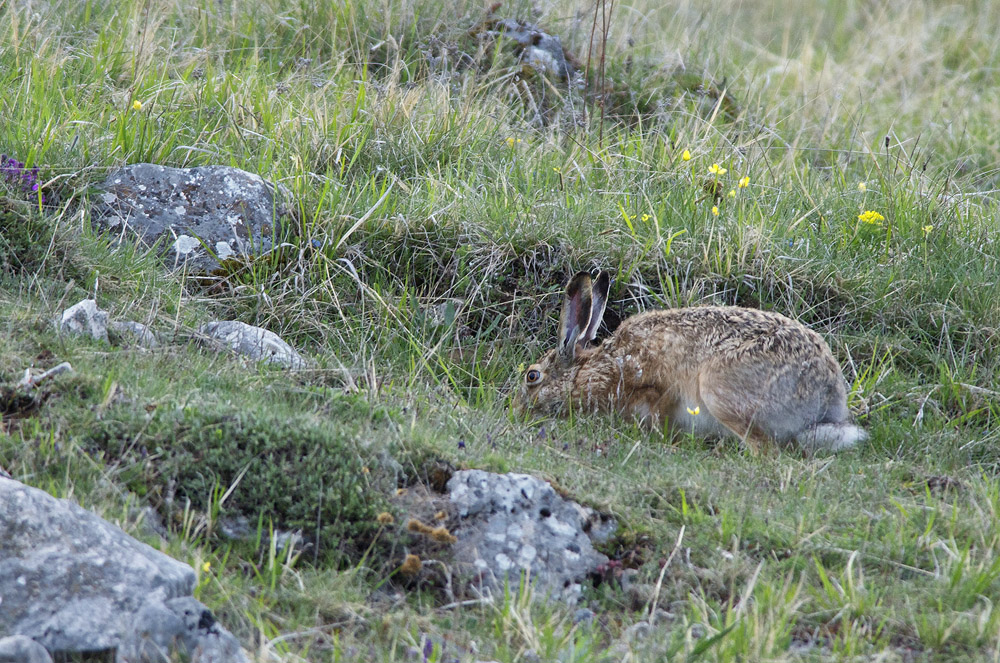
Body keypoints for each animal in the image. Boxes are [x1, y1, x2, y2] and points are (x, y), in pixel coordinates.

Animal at [517, 271, 867, 453]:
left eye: (532, 376)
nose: (517, 411)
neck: (591, 371)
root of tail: (828, 396)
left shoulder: (653, 385)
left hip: (721, 392)